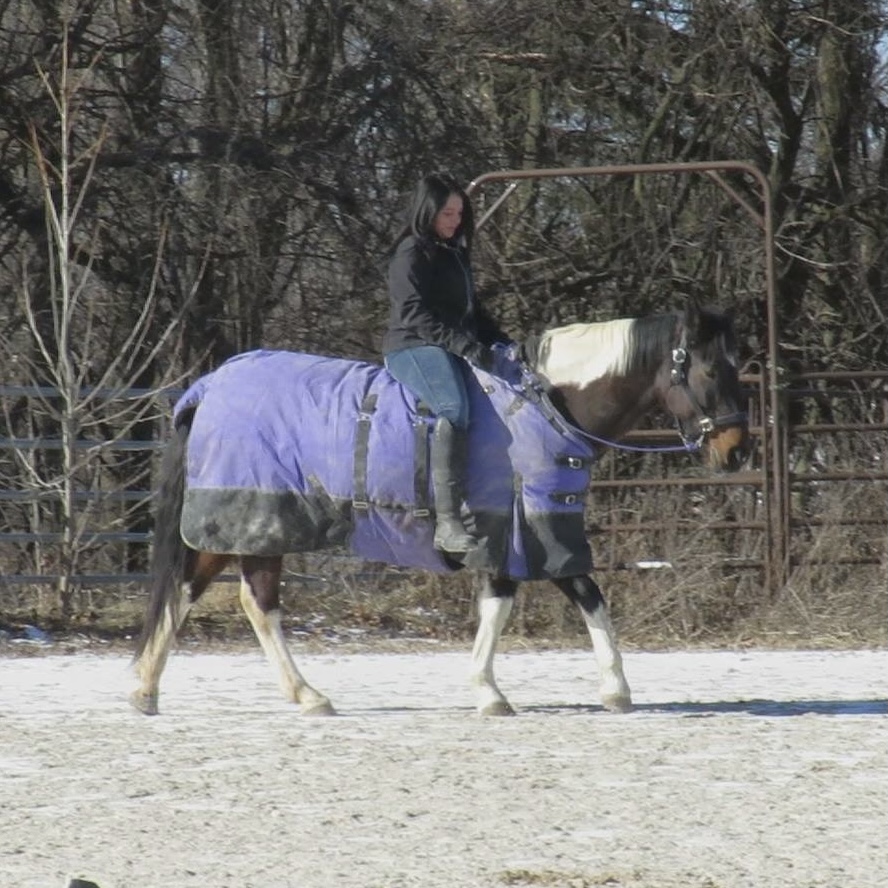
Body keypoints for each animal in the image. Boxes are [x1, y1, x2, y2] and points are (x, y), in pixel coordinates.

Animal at [126, 302, 748, 720]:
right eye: (710, 372)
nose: (737, 451)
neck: (542, 408)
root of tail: (209, 387)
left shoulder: (539, 526)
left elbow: (586, 596)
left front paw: (615, 689)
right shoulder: (516, 527)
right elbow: (514, 604)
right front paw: (490, 692)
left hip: (248, 527)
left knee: (208, 594)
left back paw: (156, 689)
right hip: (250, 520)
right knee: (240, 600)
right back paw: (293, 694)